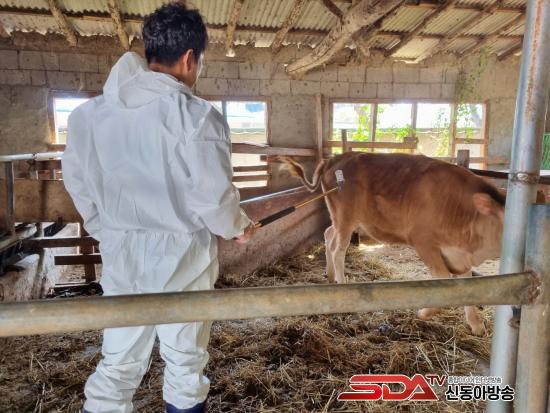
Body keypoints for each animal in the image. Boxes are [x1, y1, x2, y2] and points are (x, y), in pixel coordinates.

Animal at [282, 152, 507, 336]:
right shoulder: (423, 241)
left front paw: (476, 325)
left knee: (329, 235)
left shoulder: (459, 254)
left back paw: (330, 276)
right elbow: (443, 278)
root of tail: (335, 158)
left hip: (339, 218)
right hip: (345, 216)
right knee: (339, 249)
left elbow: (468, 285)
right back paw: (342, 283)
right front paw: (424, 312)